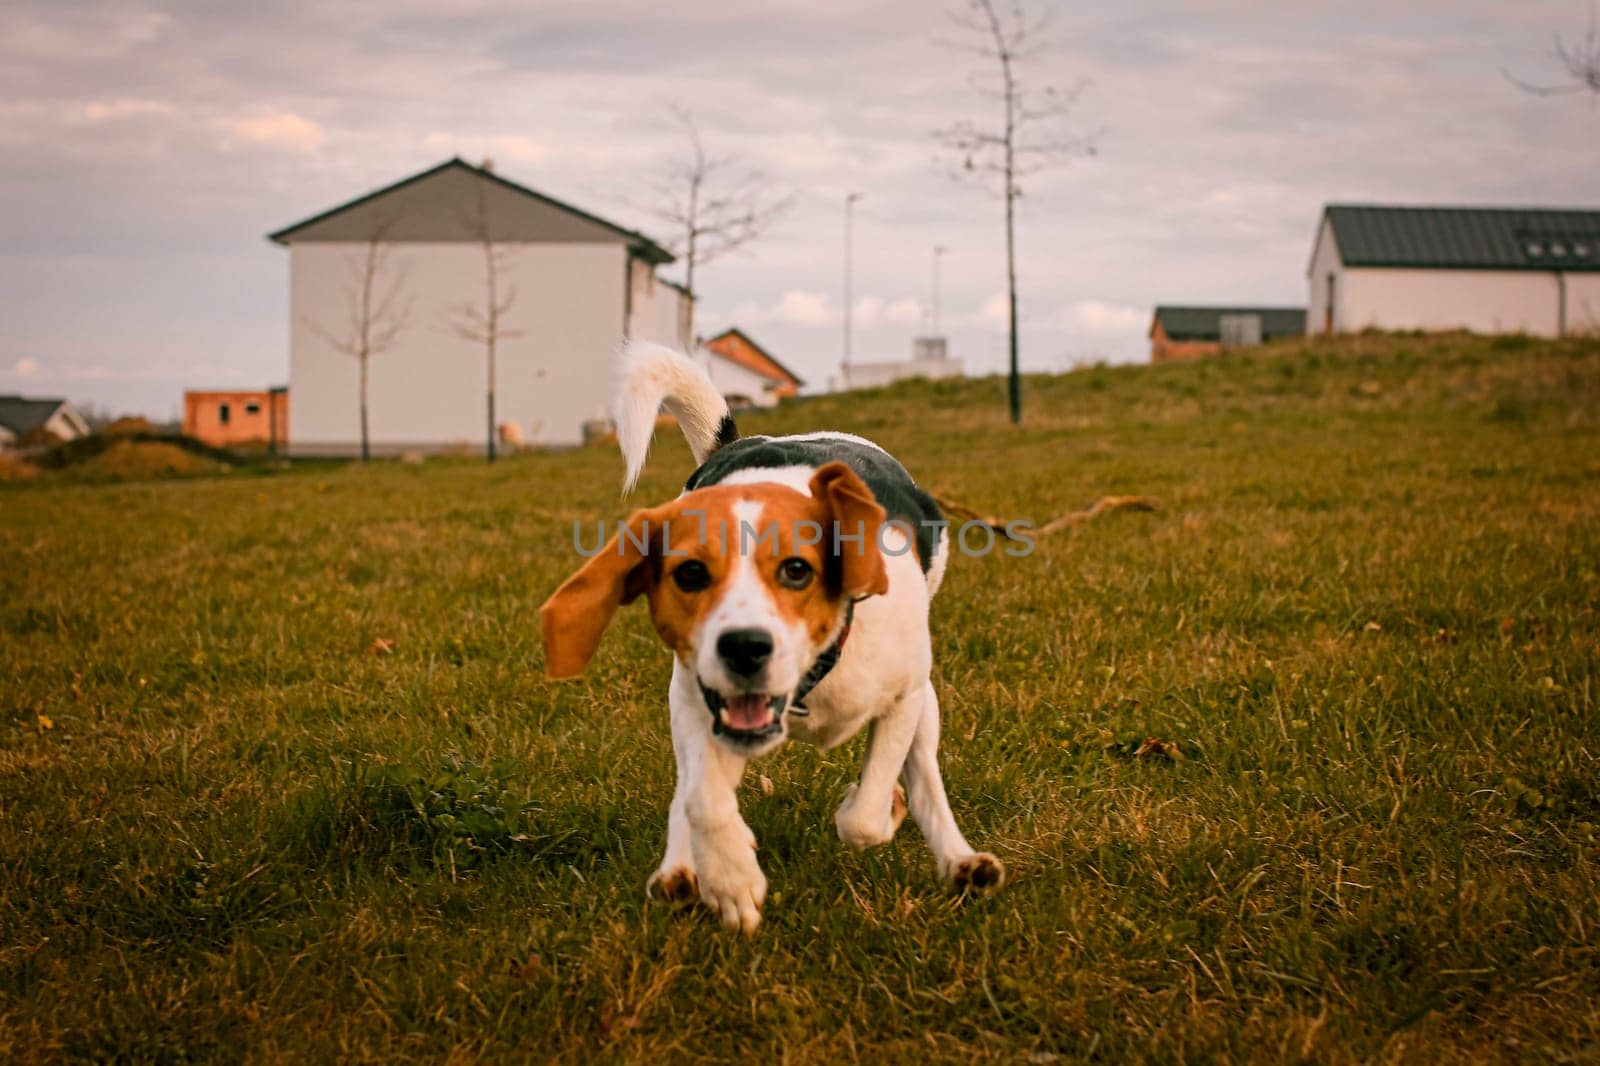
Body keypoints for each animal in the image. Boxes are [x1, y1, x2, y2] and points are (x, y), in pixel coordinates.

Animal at [544, 342, 1004, 928]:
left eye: (796, 571)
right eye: (689, 574)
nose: (743, 647)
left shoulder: (904, 698)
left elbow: (867, 812)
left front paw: (882, 806)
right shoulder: (695, 701)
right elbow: (703, 799)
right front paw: (731, 876)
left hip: (925, 702)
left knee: (924, 776)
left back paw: (960, 861)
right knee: (688, 792)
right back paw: (681, 871)